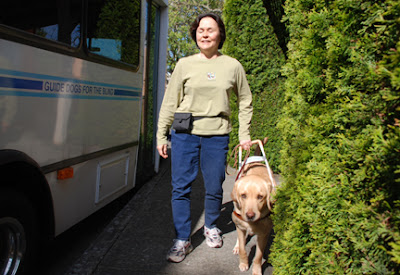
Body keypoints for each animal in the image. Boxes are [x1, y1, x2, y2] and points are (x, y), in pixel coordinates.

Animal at [231, 140, 276, 275]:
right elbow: (242, 249)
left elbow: (258, 256)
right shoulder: (240, 227)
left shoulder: (263, 234)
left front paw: (256, 270)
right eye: (243, 195)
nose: (250, 215)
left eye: (260, 197)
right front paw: (243, 263)